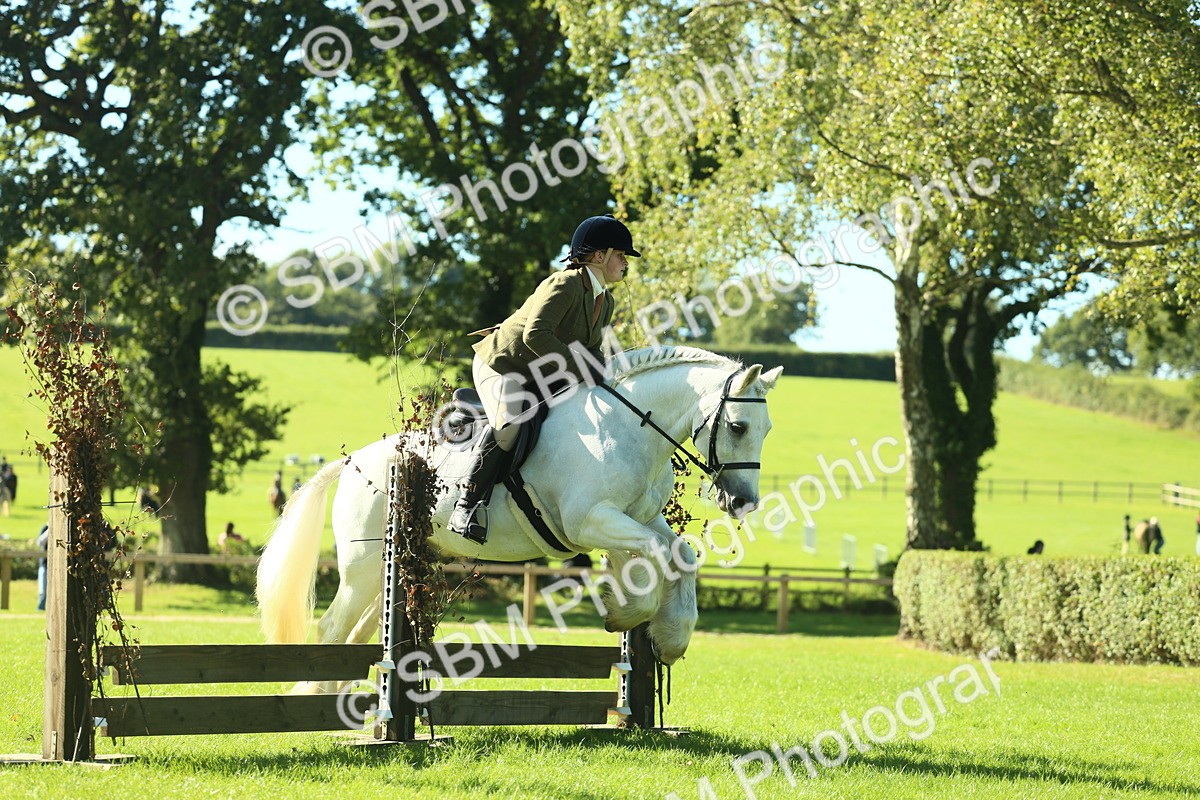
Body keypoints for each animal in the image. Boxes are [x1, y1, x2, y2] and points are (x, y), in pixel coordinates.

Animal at [256, 346, 782, 691]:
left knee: (361, 630)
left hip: (400, 562)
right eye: (738, 426)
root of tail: (353, 463)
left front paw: (670, 638)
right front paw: (625, 611)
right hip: (363, 568)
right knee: (332, 628)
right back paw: (317, 701)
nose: (743, 501)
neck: (629, 429)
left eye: (767, 429)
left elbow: (681, 554)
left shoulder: (641, 518)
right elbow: (653, 557)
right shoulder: (591, 521)